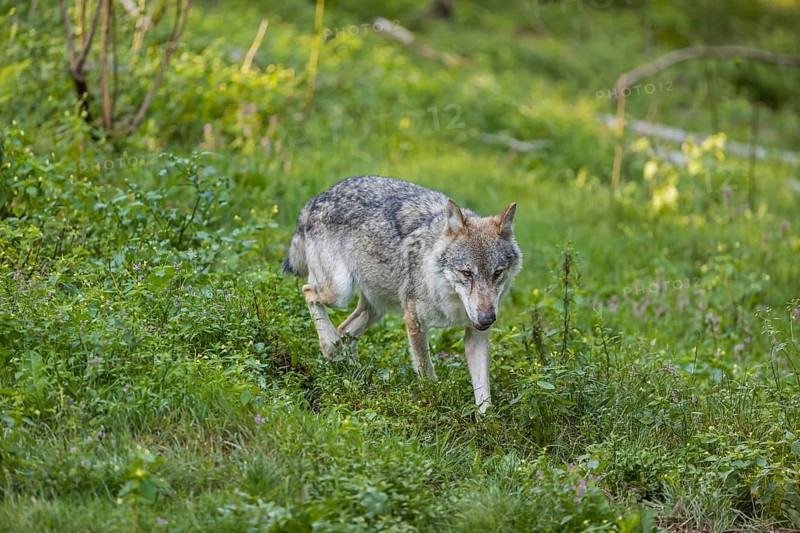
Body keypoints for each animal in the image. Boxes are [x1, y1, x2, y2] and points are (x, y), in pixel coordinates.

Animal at [282, 176, 522, 412]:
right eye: (467, 273)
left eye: (497, 273)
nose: (487, 318)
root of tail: (314, 201)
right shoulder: (414, 321)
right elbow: (426, 373)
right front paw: (435, 405)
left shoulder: (476, 334)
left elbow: (484, 394)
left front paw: (486, 421)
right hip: (340, 293)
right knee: (309, 292)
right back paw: (330, 346)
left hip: (376, 309)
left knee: (345, 332)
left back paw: (354, 376)